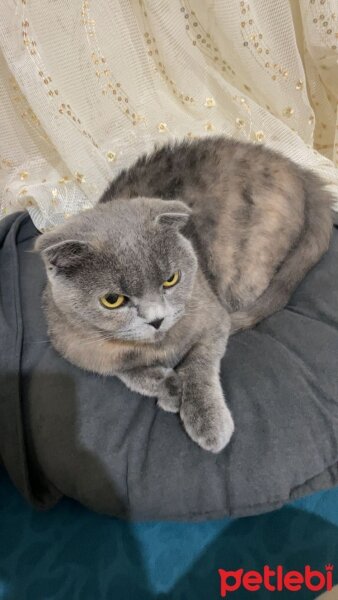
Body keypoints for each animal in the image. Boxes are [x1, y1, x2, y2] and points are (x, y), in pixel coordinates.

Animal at [36, 136, 332, 452]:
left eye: (170, 280)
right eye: (112, 300)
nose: (156, 320)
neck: (158, 348)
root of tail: (300, 170)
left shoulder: (213, 319)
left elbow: (198, 364)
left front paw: (206, 420)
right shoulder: (79, 348)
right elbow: (125, 370)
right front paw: (169, 388)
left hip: (248, 271)